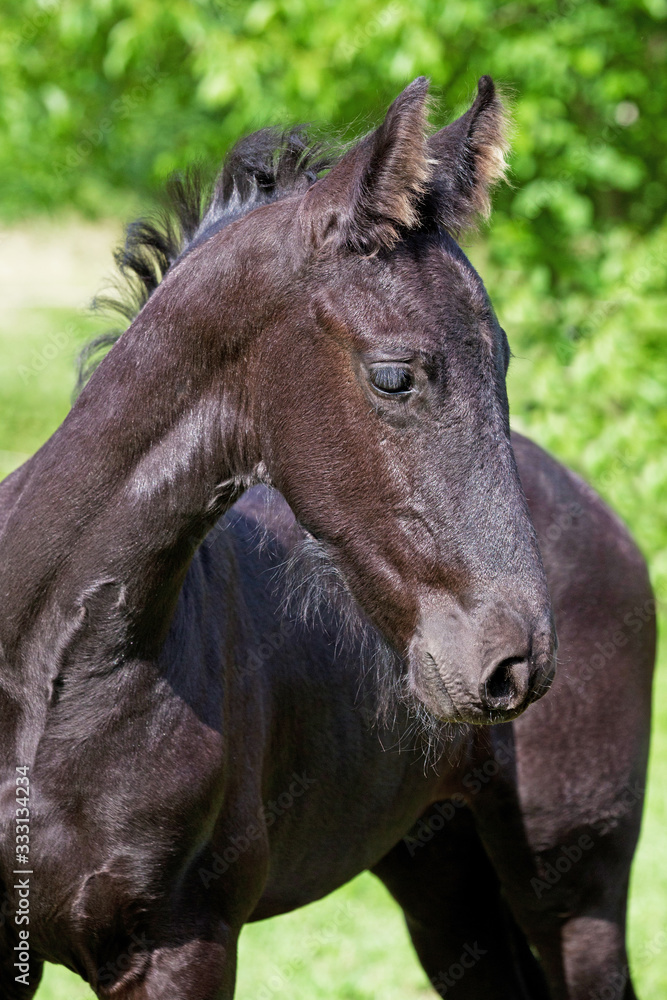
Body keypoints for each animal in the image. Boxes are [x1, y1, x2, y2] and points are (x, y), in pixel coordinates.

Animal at [0, 76, 654, 999]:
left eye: (501, 357)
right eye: (394, 375)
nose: (512, 663)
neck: (50, 672)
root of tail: (596, 509)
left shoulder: (182, 944)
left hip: (574, 892)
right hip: (442, 881)